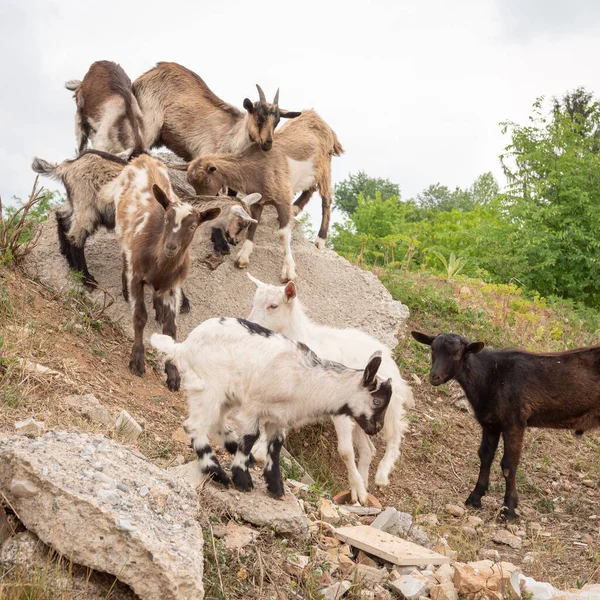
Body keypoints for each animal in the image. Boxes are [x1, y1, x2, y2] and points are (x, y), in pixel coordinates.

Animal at [101, 155, 223, 390]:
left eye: (193, 226)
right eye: (167, 219)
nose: (171, 247)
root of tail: (144, 158)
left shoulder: (174, 288)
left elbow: (171, 329)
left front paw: (173, 375)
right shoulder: (137, 277)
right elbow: (140, 316)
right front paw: (137, 361)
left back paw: (158, 305)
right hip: (121, 228)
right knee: (124, 252)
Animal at [131, 62, 300, 161]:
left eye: (277, 122)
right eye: (258, 118)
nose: (268, 143)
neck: (231, 136)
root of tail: (140, 80)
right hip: (149, 127)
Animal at [183, 109, 342, 282]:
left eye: (206, 181)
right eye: (192, 182)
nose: (203, 200)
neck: (257, 167)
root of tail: (318, 118)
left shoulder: (282, 198)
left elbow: (283, 234)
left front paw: (288, 271)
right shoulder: (258, 201)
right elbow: (253, 224)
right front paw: (243, 258)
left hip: (324, 167)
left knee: (326, 199)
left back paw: (320, 239)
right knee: (311, 188)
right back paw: (295, 209)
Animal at [414, 330, 600, 524]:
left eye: (457, 354)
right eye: (432, 349)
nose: (434, 377)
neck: (492, 375)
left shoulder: (514, 422)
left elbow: (509, 464)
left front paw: (509, 510)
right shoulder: (490, 423)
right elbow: (485, 455)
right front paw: (475, 497)